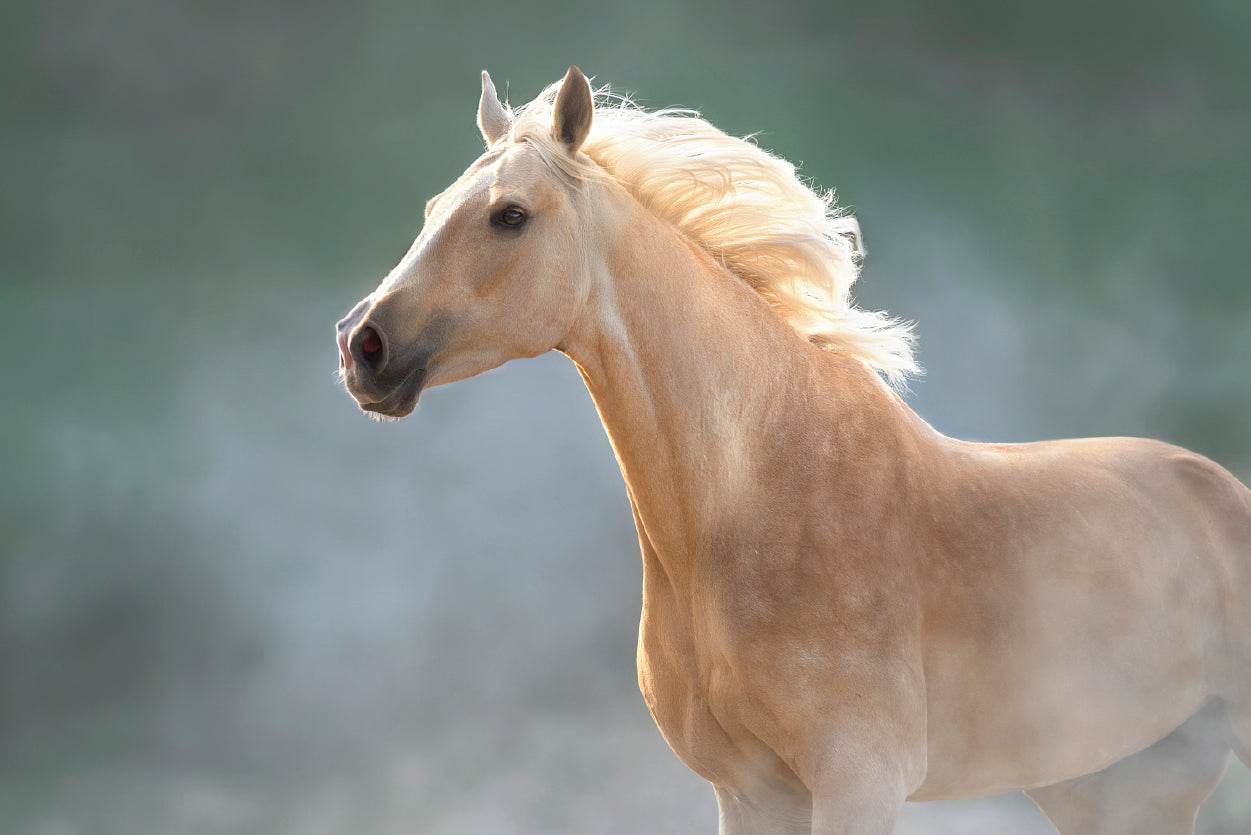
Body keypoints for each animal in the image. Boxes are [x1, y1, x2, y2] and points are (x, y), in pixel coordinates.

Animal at [335, 67, 1251, 834]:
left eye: (509, 215)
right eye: (432, 209)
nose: (362, 346)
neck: (758, 499)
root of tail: (1219, 489)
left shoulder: (858, 780)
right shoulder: (749, 790)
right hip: (1115, 785)